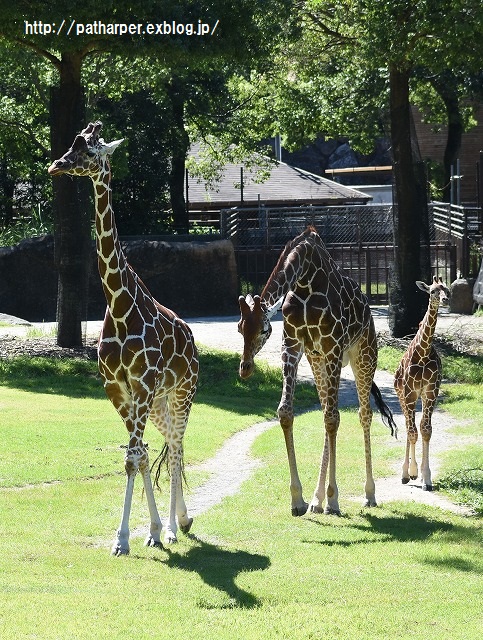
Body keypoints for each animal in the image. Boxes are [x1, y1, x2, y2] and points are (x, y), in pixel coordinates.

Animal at [48, 121, 199, 556]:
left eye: (90, 151)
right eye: (71, 145)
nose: (55, 165)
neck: (117, 306)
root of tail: (192, 338)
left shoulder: (143, 386)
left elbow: (135, 456)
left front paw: (132, 537)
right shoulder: (117, 389)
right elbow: (138, 456)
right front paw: (142, 532)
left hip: (182, 394)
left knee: (178, 449)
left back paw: (176, 526)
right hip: (162, 403)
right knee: (164, 448)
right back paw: (176, 522)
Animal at [238, 228, 398, 516]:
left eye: (265, 329)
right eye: (239, 328)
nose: (245, 368)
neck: (304, 280)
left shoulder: (332, 345)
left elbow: (334, 418)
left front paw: (334, 500)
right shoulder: (292, 344)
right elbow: (286, 412)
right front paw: (298, 499)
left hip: (363, 354)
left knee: (363, 414)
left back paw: (368, 495)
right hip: (317, 360)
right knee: (326, 409)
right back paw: (316, 500)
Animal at [396, 278, 452, 492]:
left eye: (448, 291)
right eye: (433, 291)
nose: (445, 300)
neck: (423, 351)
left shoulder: (430, 392)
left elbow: (425, 430)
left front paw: (426, 478)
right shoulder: (409, 392)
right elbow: (412, 432)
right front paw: (412, 472)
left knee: (413, 427)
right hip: (401, 395)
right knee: (407, 427)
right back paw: (405, 473)